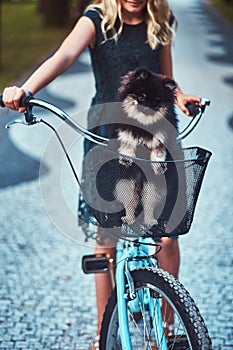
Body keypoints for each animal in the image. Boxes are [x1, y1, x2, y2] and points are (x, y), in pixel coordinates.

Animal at [114, 68, 177, 227]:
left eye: (156, 101)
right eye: (142, 97)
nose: (147, 107)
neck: (143, 124)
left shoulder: (160, 138)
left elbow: (158, 151)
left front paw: (159, 166)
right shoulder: (125, 132)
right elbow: (127, 143)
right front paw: (126, 159)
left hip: (151, 186)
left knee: (148, 204)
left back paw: (149, 220)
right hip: (126, 184)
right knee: (131, 203)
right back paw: (129, 218)